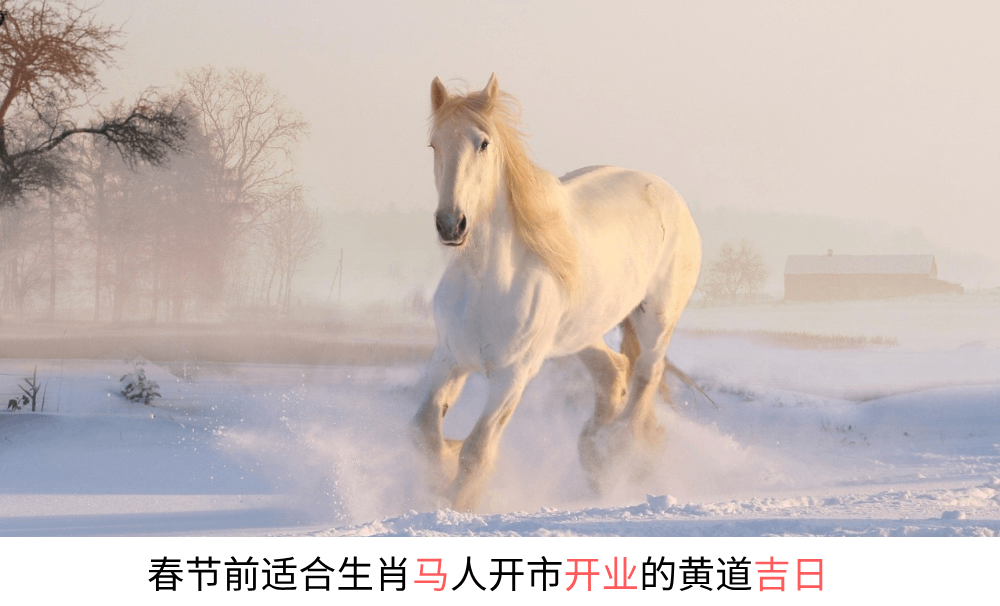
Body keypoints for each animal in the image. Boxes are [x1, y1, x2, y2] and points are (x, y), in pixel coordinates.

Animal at [412, 74, 702, 511]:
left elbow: (477, 450)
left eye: (483, 143)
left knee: (645, 376)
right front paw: (444, 466)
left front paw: (458, 502)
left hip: (657, 318)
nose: (451, 224)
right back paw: (595, 454)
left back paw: (617, 451)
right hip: (581, 333)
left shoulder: (513, 375)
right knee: (613, 372)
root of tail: (669, 194)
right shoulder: (449, 357)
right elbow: (425, 432)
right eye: (434, 144)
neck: (485, 282)